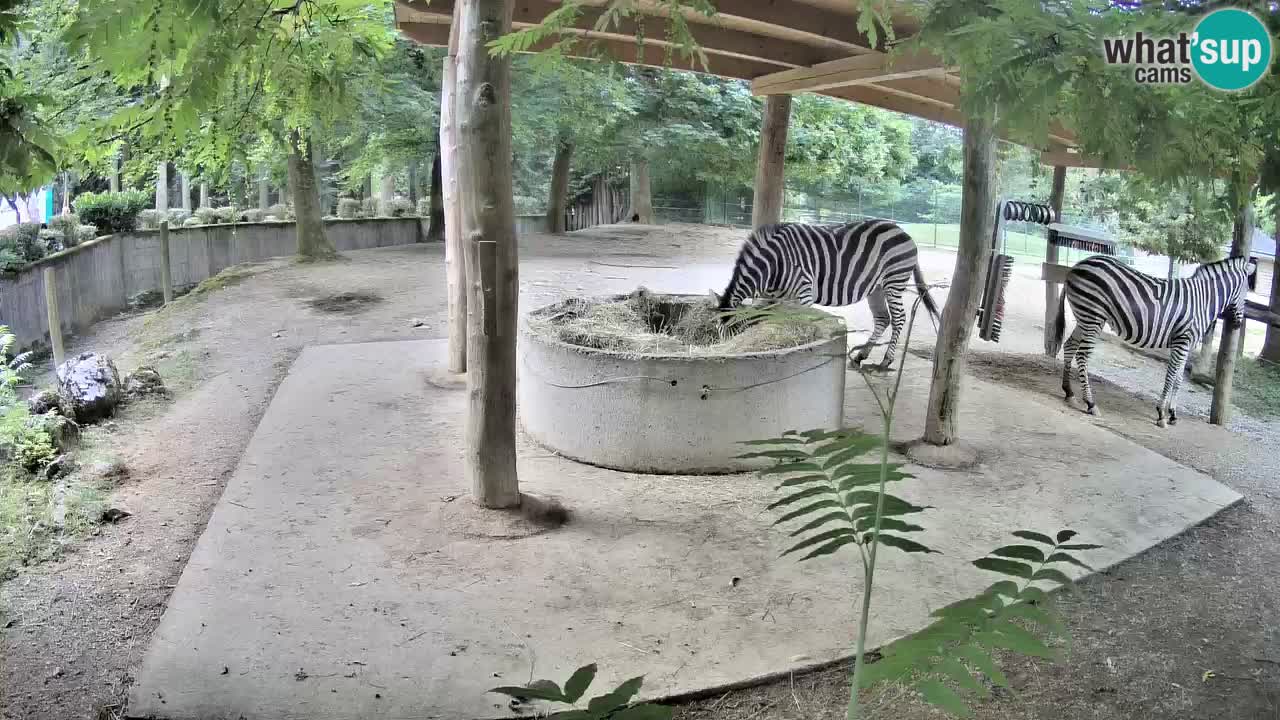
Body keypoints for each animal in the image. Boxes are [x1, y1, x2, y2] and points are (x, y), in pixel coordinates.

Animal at [713, 219, 941, 371]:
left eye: (732, 332)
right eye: (719, 332)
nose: (724, 354)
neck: (774, 265)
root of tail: (903, 231)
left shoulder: (804, 292)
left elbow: (801, 322)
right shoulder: (774, 297)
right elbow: (767, 319)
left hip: (893, 282)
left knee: (899, 318)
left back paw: (886, 360)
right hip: (876, 287)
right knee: (883, 319)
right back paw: (861, 355)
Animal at [1048, 253, 1257, 427]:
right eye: (1246, 292)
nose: (1237, 324)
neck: (1203, 300)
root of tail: (1078, 265)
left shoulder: (1186, 344)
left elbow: (1179, 379)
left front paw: (1173, 414)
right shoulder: (1182, 340)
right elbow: (1171, 376)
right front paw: (1161, 414)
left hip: (1085, 318)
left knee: (1070, 346)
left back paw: (1069, 392)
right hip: (1093, 316)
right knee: (1082, 356)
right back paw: (1091, 403)